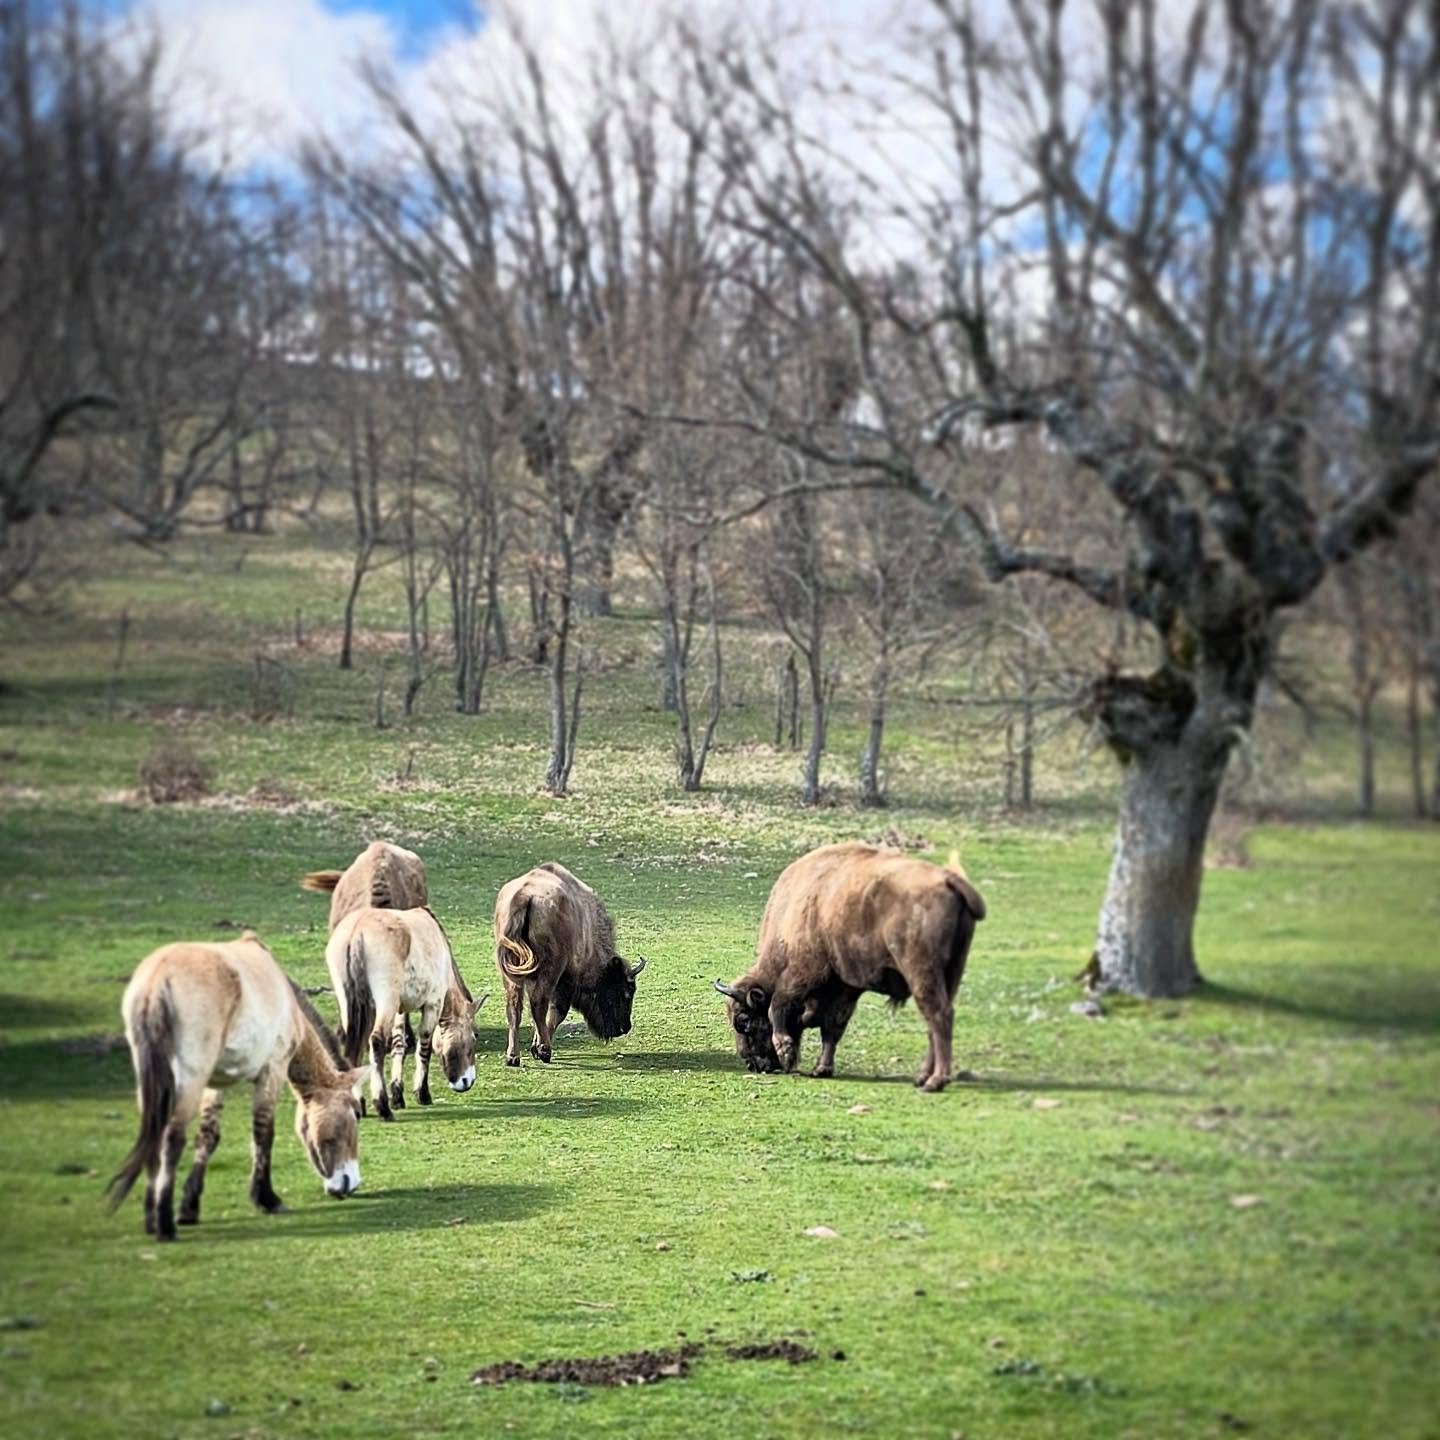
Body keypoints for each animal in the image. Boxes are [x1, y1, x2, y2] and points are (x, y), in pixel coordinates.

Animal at [107, 930, 370, 1242]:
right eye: (355, 1114)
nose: (349, 1183)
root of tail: (158, 979)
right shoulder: (272, 1071)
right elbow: (263, 1134)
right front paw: (267, 1198)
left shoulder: (216, 1083)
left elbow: (208, 1136)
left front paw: (189, 1206)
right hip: (190, 1078)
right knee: (172, 1137)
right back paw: (164, 1225)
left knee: (154, 1133)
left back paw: (151, 1218)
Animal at [327, 905, 484, 1121]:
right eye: (474, 1034)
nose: (467, 1081)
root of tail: (358, 930)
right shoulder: (432, 1004)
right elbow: (424, 1046)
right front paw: (422, 1094)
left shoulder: (400, 1011)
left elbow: (399, 1045)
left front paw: (398, 1095)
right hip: (385, 1001)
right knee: (376, 1041)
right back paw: (382, 1106)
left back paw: (359, 1104)